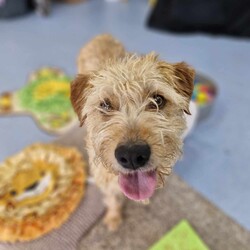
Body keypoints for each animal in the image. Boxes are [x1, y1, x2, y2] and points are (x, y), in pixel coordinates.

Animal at [70, 33, 195, 230]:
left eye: (158, 100)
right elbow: (112, 199)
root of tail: (102, 35)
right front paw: (114, 218)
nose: (132, 156)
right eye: (105, 105)